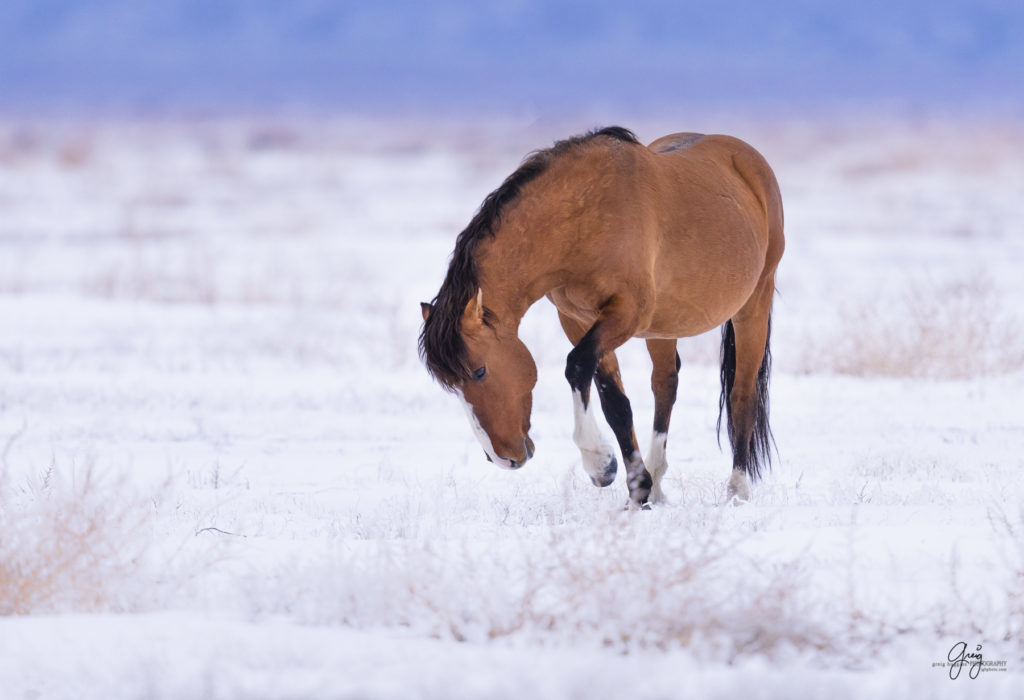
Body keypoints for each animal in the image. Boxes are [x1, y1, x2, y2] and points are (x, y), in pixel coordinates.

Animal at [415, 125, 782, 505]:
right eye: (450, 384)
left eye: (480, 370)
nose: (503, 459)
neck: (584, 219)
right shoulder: (578, 320)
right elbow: (615, 403)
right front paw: (638, 488)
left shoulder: (625, 314)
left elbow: (577, 365)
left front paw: (599, 463)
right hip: (663, 328)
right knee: (665, 385)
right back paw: (658, 484)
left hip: (754, 303)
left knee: (742, 394)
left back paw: (737, 492)